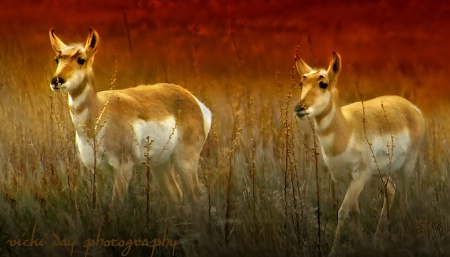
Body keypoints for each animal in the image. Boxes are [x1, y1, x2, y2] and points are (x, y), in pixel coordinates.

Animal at [48, 28, 212, 208]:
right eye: (57, 59)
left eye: (81, 59)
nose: (56, 80)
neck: (99, 113)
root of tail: (195, 101)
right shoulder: (97, 172)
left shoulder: (123, 168)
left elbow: (115, 206)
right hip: (160, 166)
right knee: (176, 195)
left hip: (185, 162)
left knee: (195, 197)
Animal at [296, 51, 426, 254]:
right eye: (301, 83)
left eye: (323, 83)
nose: (299, 108)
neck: (346, 127)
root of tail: (412, 108)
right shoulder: (346, 179)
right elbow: (354, 211)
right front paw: (360, 241)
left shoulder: (359, 177)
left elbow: (342, 211)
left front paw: (333, 252)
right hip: (382, 173)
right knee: (391, 190)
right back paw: (379, 237)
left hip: (407, 166)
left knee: (404, 198)